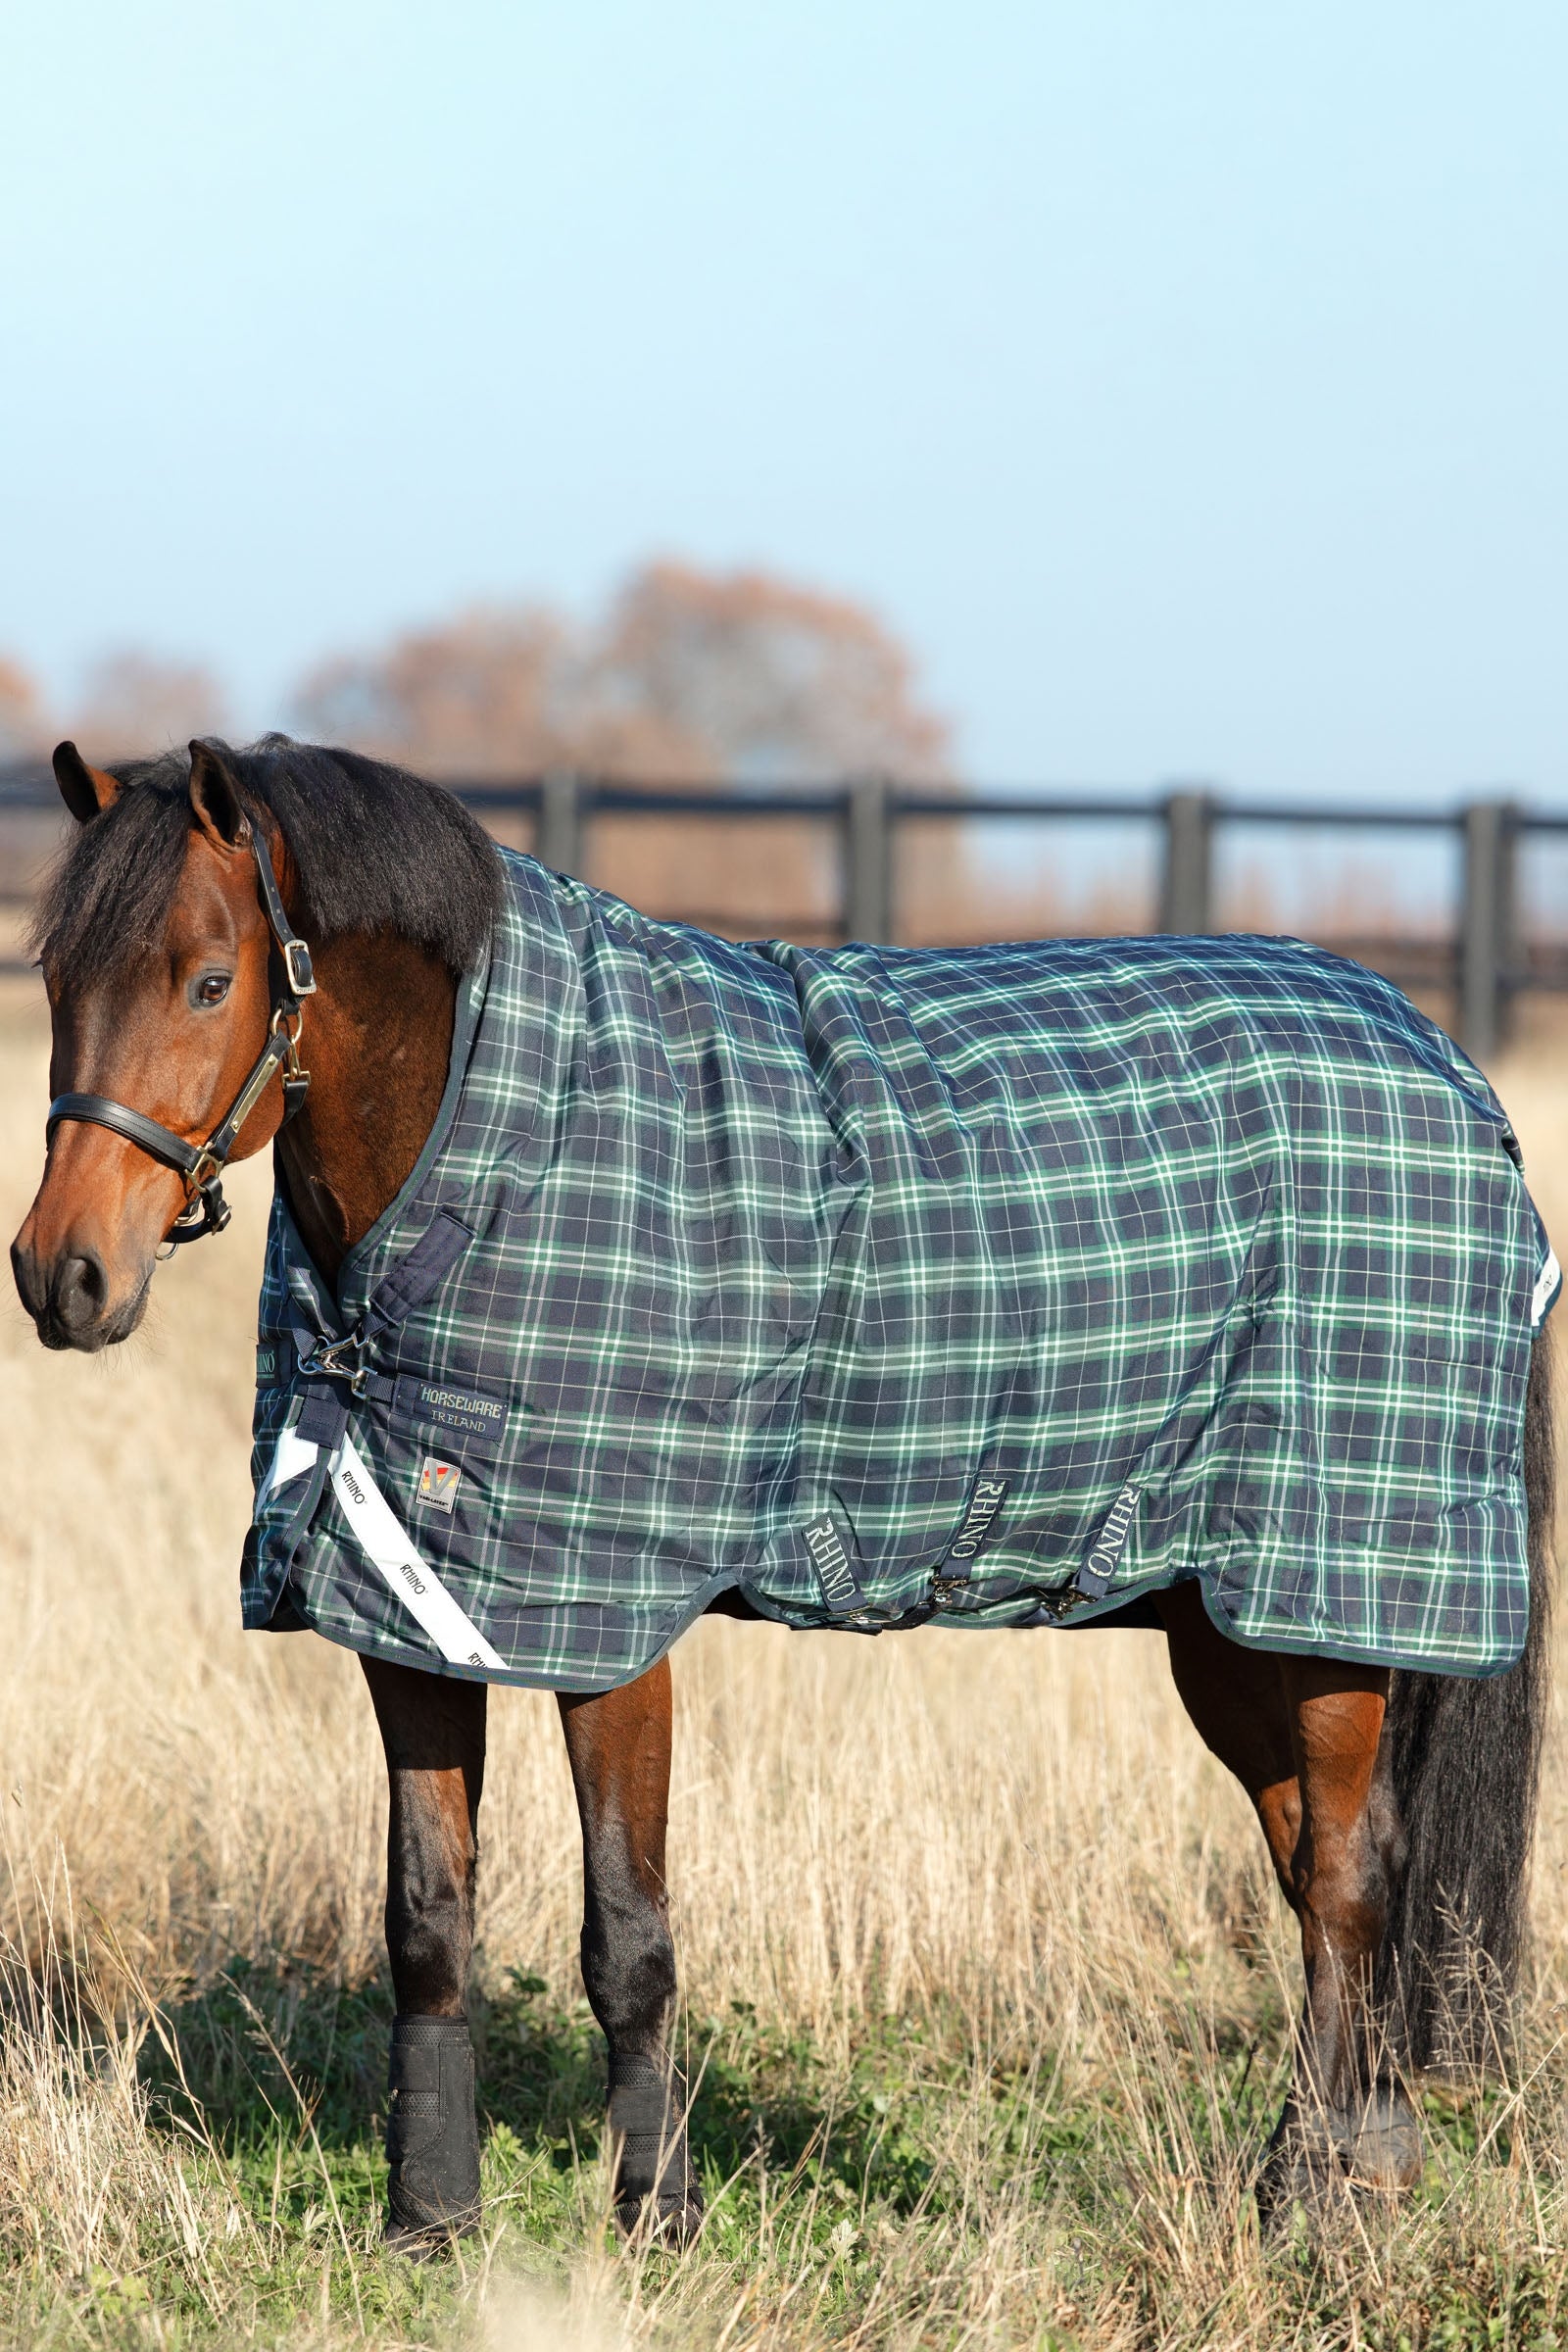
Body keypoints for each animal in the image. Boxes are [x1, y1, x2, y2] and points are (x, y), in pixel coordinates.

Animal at [11, 733, 1556, 2251]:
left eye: (211, 981)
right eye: (57, 975)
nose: (61, 1275)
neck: (494, 1146)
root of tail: (1451, 1072)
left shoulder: (610, 1632)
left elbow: (627, 1932)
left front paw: (657, 2210)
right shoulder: (417, 1608)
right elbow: (428, 1919)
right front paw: (429, 2218)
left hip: (1321, 1596)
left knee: (1349, 1881)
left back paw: (1313, 2209)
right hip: (1224, 1625)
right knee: (1317, 1870)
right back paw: (1352, 2162)